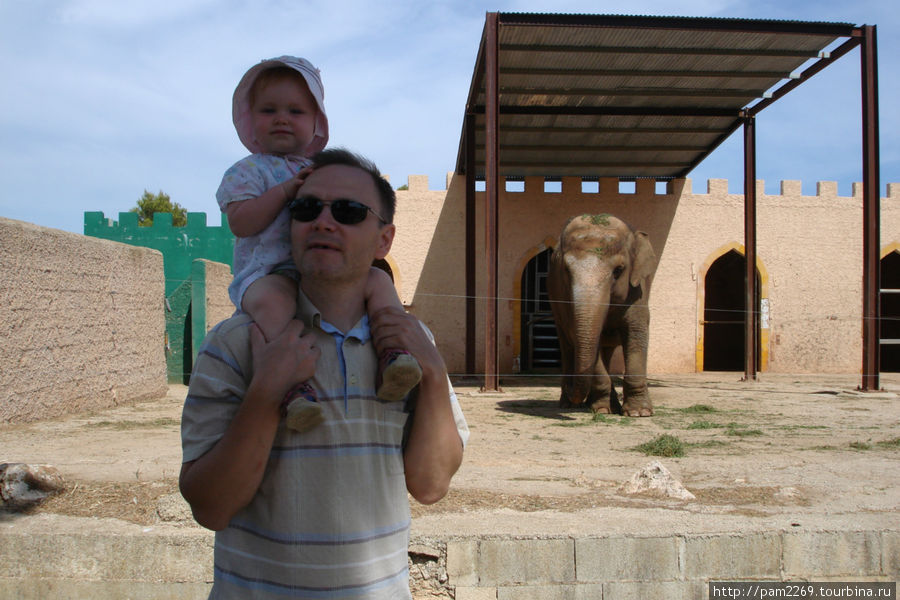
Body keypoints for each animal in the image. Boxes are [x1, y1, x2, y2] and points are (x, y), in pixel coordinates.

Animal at [544, 213, 656, 414]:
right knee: (568, 347)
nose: (571, 389)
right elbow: (584, 341)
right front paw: (603, 410)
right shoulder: (565, 300)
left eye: (619, 270)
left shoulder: (637, 293)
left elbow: (636, 333)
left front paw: (639, 413)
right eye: (566, 270)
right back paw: (573, 405)